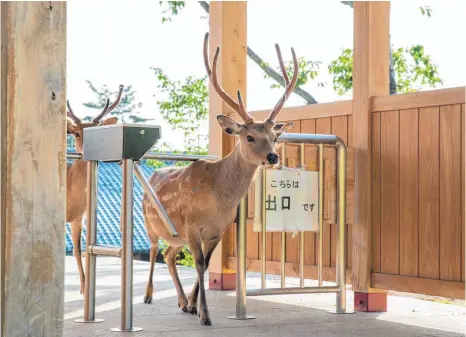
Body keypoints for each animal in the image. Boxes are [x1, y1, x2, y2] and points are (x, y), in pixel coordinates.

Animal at [140, 32, 296, 324]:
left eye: (274, 136)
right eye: (249, 136)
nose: (273, 156)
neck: (217, 199)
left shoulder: (219, 230)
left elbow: (205, 265)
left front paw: (195, 306)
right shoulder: (192, 226)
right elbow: (200, 264)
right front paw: (205, 315)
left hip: (176, 235)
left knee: (169, 254)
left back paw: (181, 302)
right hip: (149, 223)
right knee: (156, 251)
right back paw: (147, 295)